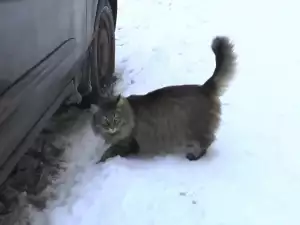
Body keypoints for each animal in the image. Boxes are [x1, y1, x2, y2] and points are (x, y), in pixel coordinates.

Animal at [91, 35, 237, 162]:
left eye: (116, 118)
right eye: (105, 121)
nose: (112, 128)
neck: (130, 113)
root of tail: (203, 87)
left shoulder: (129, 143)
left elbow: (109, 152)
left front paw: (100, 161)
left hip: (196, 128)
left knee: (207, 141)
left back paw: (194, 156)